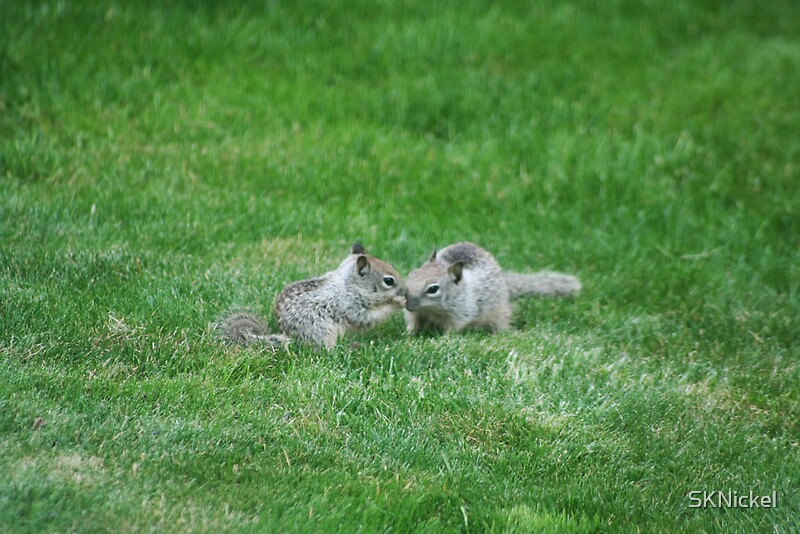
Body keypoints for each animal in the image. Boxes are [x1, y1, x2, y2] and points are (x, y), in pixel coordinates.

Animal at [216, 243, 408, 350]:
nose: (405, 290)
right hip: (322, 332)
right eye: (389, 281)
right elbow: (366, 319)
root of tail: (292, 338)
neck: (349, 284)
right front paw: (397, 302)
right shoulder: (348, 304)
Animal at [403, 242, 580, 334]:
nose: (407, 302)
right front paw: (410, 333)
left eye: (433, 289)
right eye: (412, 274)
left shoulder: (462, 311)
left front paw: (442, 338)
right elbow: (413, 320)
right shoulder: (416, 312)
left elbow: (453, 327)